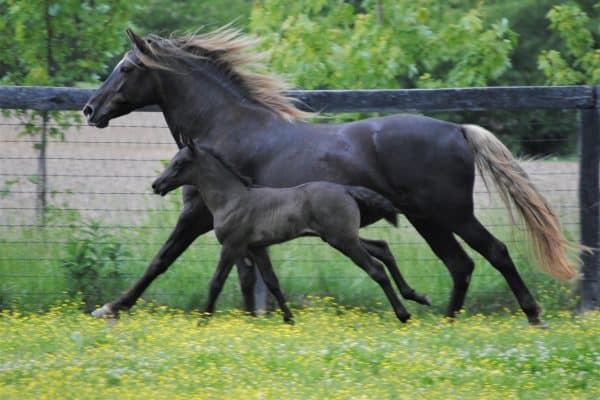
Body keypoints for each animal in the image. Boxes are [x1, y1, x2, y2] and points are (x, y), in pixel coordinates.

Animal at [151, 144, 426, 322]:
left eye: (180, 163)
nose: (156, 185)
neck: (232, 198)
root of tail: (346, 190)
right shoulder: (255, 248)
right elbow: (272, 281)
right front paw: (288, 318)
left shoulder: (232, 246)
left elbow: (216, 282)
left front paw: (203, 318)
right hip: (344, 237)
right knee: (382, 248)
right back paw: (416, 295)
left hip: (343, 240)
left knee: (376, 269)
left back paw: (403, 313)